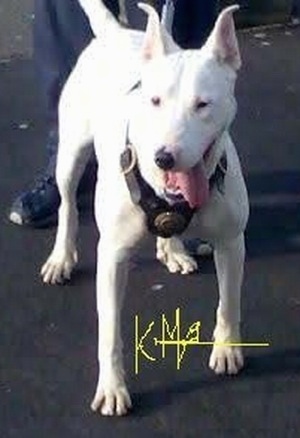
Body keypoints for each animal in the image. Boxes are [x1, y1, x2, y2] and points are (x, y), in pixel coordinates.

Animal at [41, 0, 250, 416]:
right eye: (154, 101)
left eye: (203, 105)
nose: (164, 157)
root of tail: (115, 32)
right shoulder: (112, 256)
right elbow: (109, 332)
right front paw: (112, 388)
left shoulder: (232, 243)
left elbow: (229, 302)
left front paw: (227, 349)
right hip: (71, 153)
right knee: (68, 205)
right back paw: (61, 257)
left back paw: (174, 251)